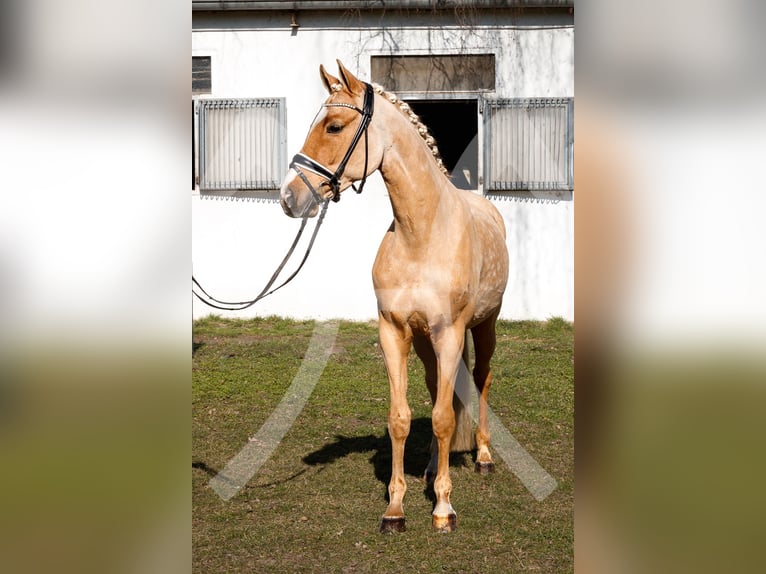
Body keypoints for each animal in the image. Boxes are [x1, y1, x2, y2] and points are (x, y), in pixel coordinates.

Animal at [282, 60, 510, 532]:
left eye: (334, 126)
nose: (289, 197)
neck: (420, 235)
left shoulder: (450, 334)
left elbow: (443, 418)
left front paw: (443, 509)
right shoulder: (394, 333)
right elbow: (401, 418)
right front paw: (396, 507)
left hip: (484, 326)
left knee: (481, 380)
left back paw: (482, 455)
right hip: (424, 342)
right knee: (435, 387)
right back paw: (431, 467)